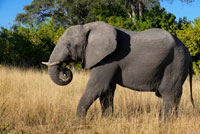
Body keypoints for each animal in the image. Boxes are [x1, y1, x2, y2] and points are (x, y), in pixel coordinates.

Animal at [42, 21, 194, 119]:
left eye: (69, 44)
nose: (65, 72)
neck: (87, 27)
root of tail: (187, 51)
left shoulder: (109, 59)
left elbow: (97, 87)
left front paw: (79, 121)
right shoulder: (106, 60)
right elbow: (107, 90)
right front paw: (107, 120)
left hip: (175, 64)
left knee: (169, 94)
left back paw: (165, 124)